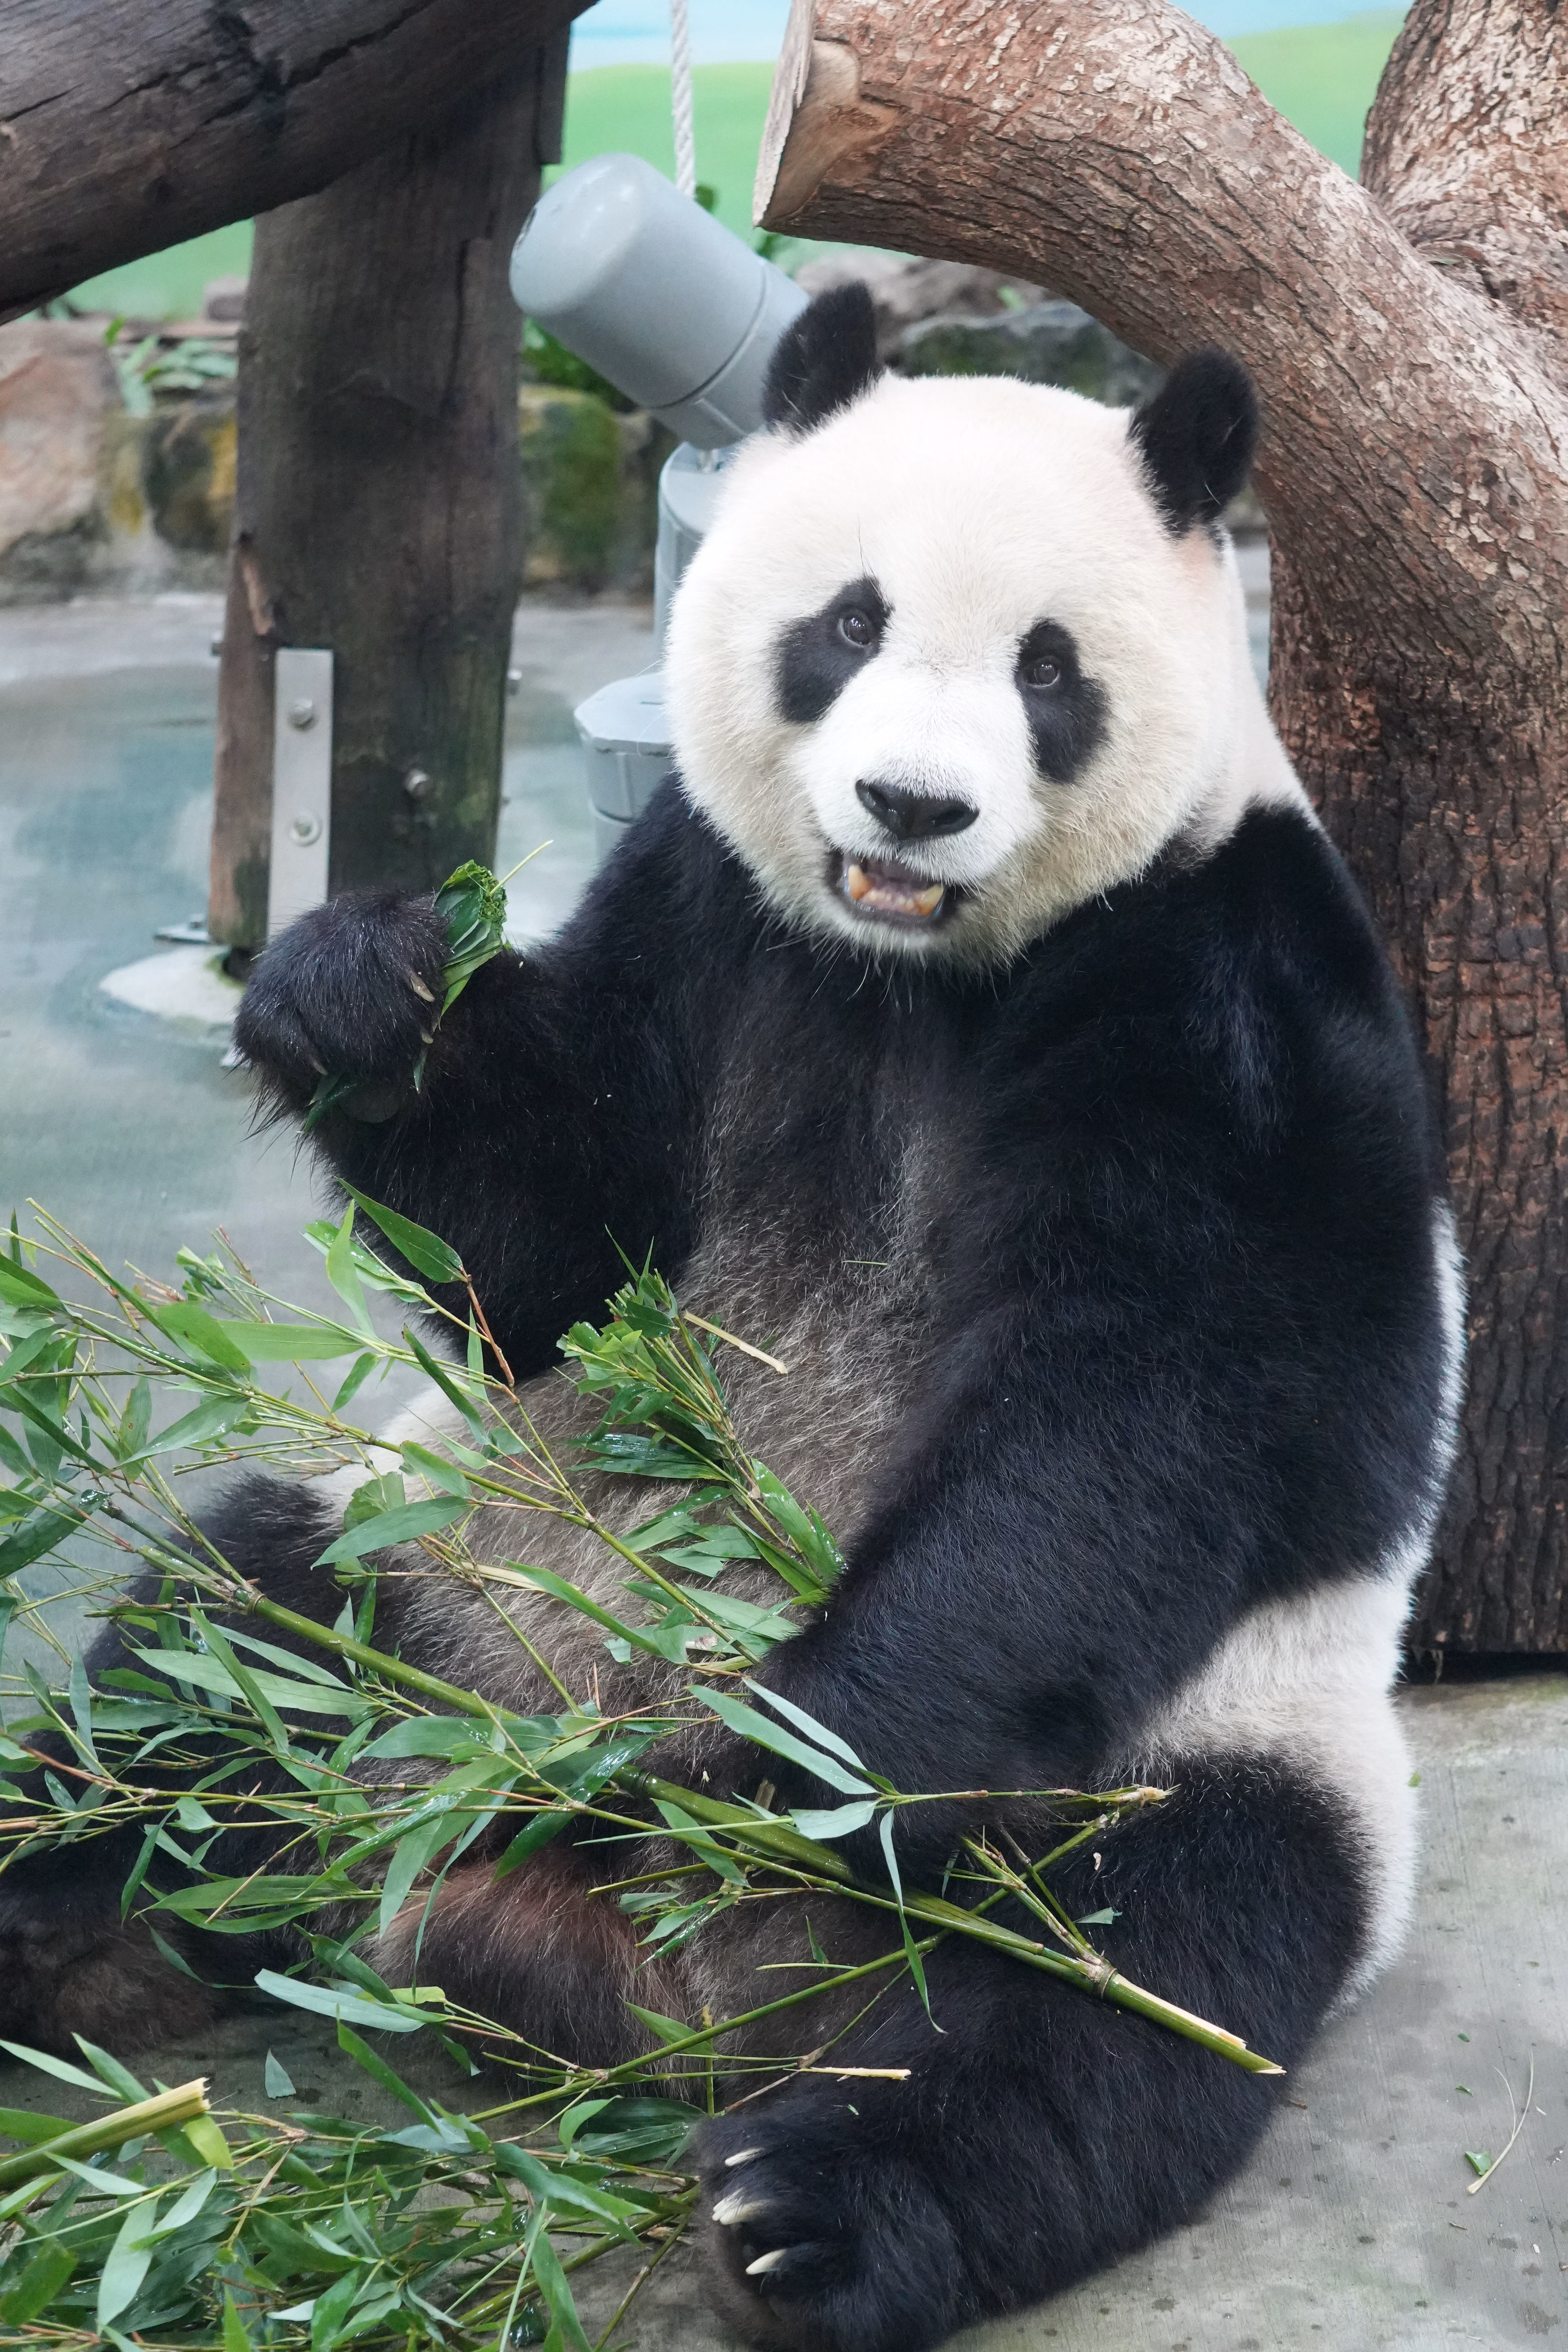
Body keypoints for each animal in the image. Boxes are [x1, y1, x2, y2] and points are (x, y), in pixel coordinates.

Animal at [0, 286, 1461, 2352]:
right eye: (845, 622)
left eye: (1047, 669)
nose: (914, 804)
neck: (911, 965)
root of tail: (653, 1998)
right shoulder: (704, 910)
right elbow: (552, 1256)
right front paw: (358, 987)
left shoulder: (1214, 981)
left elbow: (1154, 1409)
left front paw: (776, 1757)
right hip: (445, 1586)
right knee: (214, 1657)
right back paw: (72, 1908)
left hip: (1200, 1753)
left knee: (1102, 1993)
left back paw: (810, 2197)